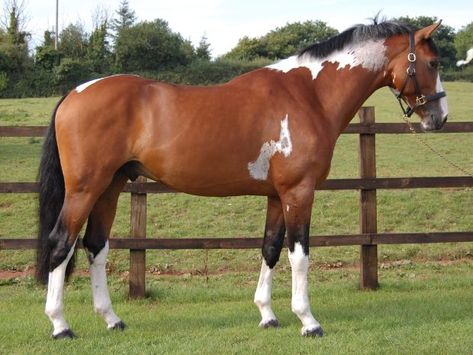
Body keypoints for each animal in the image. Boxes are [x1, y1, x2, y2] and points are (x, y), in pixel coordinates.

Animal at [36, 19, 446, 340]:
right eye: (432, 62)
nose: (439, 117)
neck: (309, 95)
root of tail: (75, 93)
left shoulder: (277, 196)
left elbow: (271, 248)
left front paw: (268, 315)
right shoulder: (299, 192)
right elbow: (300, 255)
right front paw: (308, 321)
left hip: (111, 187)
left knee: (95, 246)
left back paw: (112, 320)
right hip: (85, 189)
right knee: (61, 243)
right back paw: (60, 325)